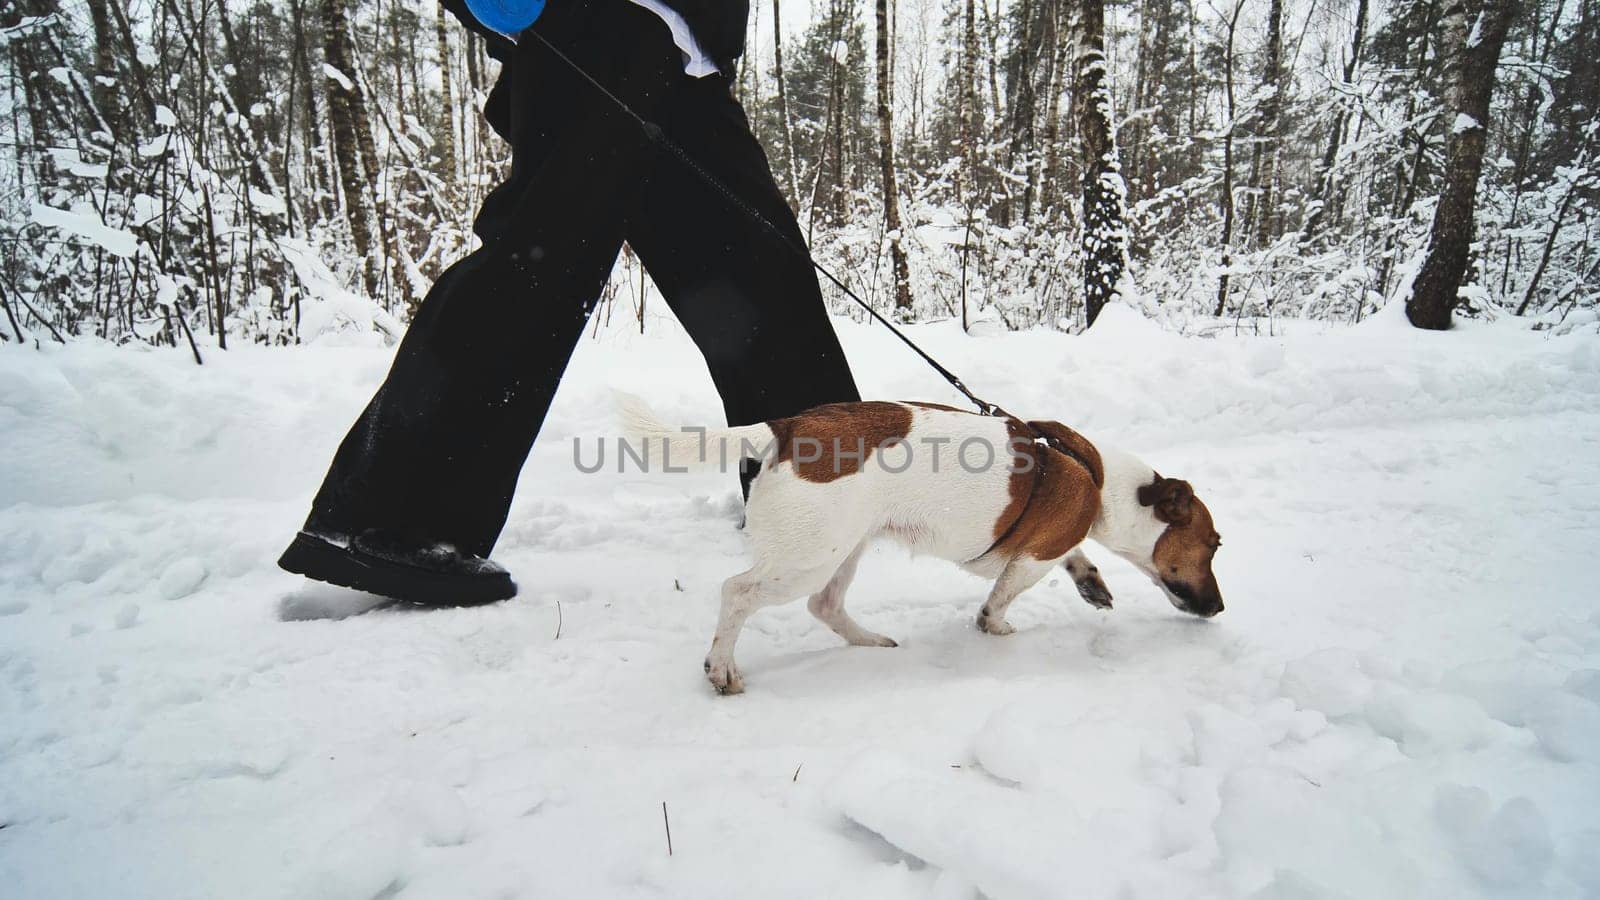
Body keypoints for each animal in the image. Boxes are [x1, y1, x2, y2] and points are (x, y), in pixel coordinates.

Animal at [617, 393, 1216, 695]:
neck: (1098, 478)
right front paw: (996, 625)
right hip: (809, 557)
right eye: (1214, 543)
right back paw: (722, 668)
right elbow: (1001, 598)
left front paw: (1090, 581)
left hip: (847, 546)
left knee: (824, 605)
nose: (1219, 607)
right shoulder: (1033, 557)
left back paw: (871, 642)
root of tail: (787, 428)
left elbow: (1075, 560)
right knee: (737, 593)